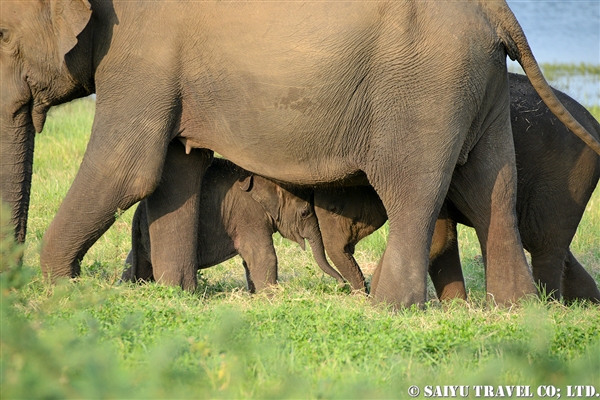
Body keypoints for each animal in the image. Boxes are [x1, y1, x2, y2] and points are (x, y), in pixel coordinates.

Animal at [122, 158, 344, 292]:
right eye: (305, 212)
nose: (342, 285)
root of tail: (137, 213)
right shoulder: (249, 215)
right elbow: (263, 256)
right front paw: (271, 298)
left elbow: (249, 260)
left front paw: (256, 296)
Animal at [314, 72, 600, 304]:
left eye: (335, 206)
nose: (352, 290)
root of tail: (594, 124)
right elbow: (443, 236)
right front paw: (456, 307)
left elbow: (438, 237)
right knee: (544, 240)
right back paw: (586, 301)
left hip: (566, 177)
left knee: (543, 242)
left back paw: (550, 304)